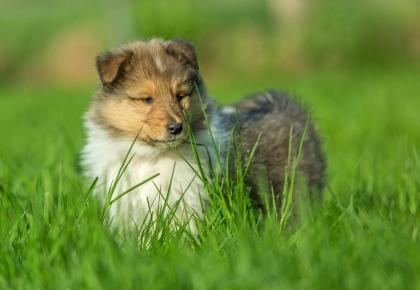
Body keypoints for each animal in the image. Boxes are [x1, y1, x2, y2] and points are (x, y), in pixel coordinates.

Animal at [80, 39, 326, 233]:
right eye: (147, 99)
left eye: (180, 96)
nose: (176, 128)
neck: (151, 155)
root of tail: (288, 104)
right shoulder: (127, 203)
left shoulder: (187, 200)